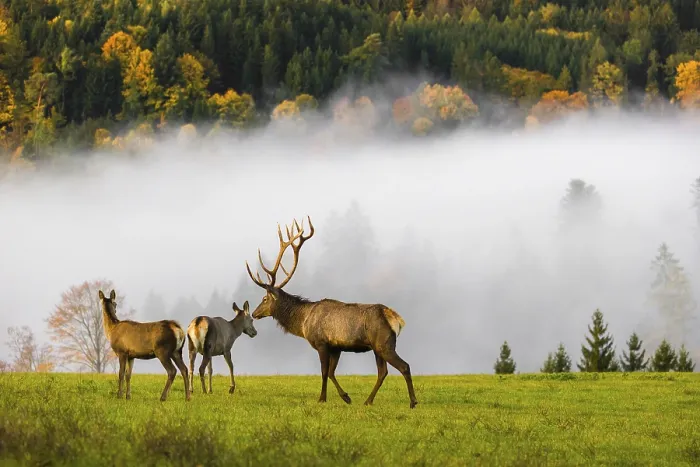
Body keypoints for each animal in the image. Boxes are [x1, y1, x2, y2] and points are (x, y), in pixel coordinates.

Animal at [245, 216, 418, 408]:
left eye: (265, 299)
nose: (254, 313)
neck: (303, 323)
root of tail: (394, 317)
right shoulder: (336, 347)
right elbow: (331, 372)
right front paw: (346, 397)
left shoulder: (321, 343)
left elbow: (323, 371)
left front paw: (322, 398)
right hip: (376, 347)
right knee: (383, 372)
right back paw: (368, 400)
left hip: (384, 343)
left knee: (404, 366)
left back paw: (413, 401)